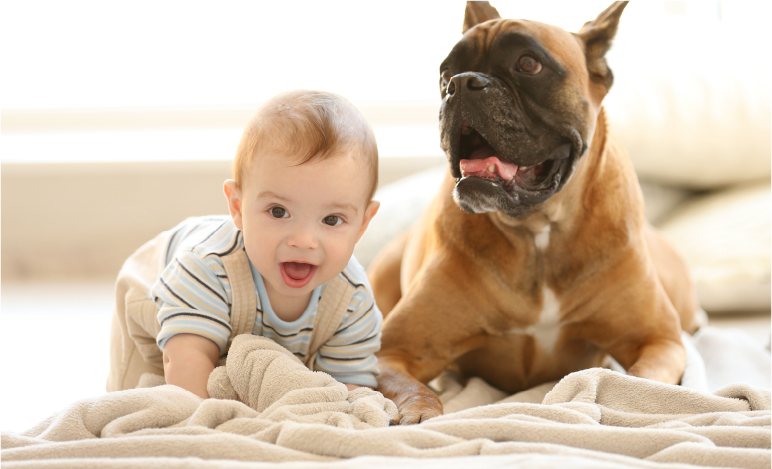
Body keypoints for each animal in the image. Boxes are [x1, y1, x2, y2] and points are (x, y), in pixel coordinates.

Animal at [368, 0, 700, 424]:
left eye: (528, 64)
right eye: (444, 73)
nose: (461, 83)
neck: (538, 231)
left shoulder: (658, 341)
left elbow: (632, 382)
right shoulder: (393, 352)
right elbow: (415, 388)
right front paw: (420, 414)